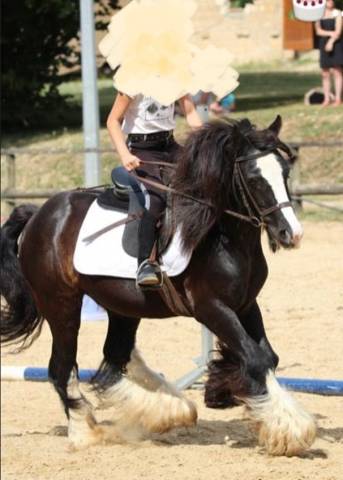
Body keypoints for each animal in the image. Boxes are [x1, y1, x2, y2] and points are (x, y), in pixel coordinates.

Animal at [0, 115, 318, 454]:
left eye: (284, 173)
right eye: (255, 179)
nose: (292, 234)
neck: (223, 237)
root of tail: (38, 214)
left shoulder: (246, 304)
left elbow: (267, 356)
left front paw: (235, 397)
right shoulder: (212, 308)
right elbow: (256, 357)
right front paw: (289, 428)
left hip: (122, 307)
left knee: (113, 361)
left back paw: (167, 409)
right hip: (62, 306)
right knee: (61, 368)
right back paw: (85, 432)